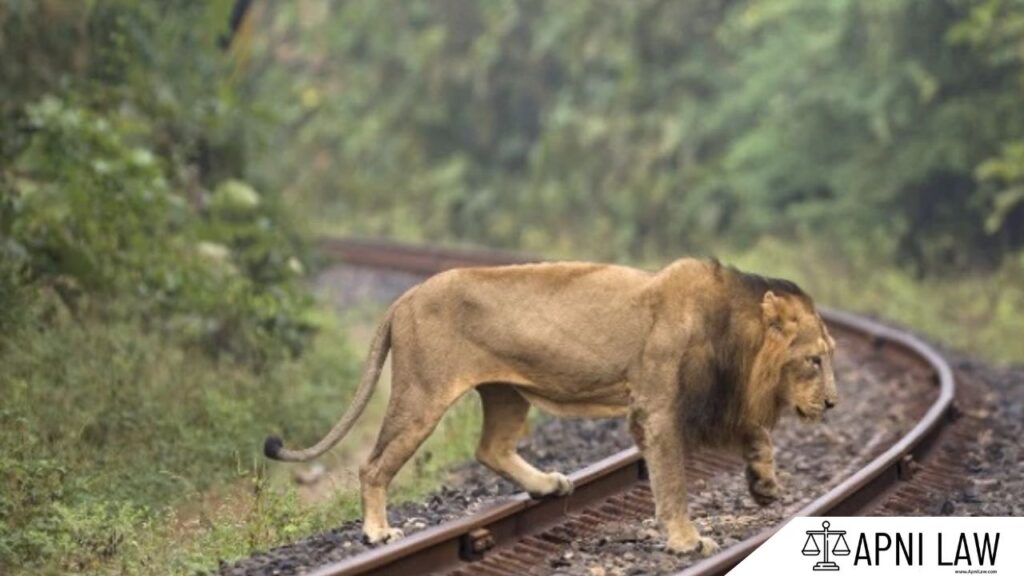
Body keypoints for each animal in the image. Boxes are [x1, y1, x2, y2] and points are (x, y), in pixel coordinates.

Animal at [262, 255, 831, 553]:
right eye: (815, 360)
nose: (831, 403)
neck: (736, 340)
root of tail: (403, 298)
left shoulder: (714, 401)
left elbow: (757, 432)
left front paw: (764, 484)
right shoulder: (659, 411)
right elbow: (672, 482)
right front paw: (687, 541)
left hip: (505, 393)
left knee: (490, 448)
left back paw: (549, 484)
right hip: (421, 394)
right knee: (374, 465)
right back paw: (378, 532)